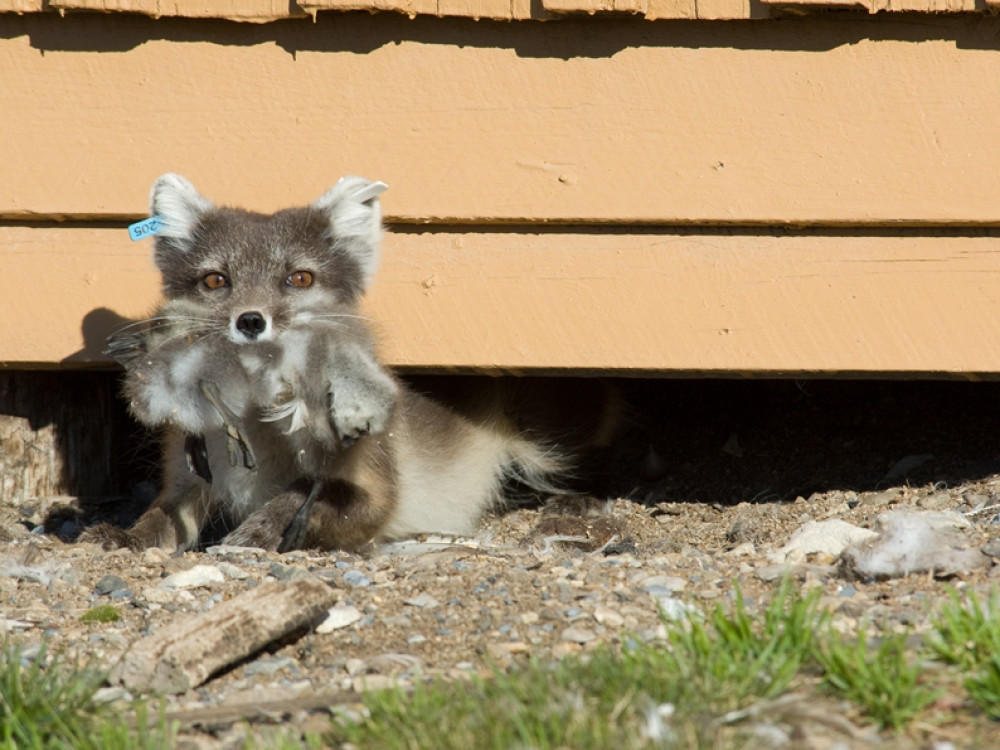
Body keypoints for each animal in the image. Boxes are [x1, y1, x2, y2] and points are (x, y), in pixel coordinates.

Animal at [80, 174, 620, 553]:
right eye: (215, 281)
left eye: (299, 278)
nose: (251, 321)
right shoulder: (187, 479)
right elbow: (158, 515)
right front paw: (122, 536)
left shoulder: (379, 490)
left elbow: (302, 493)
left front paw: (262, 529)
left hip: (544, 429)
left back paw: (576, 504)